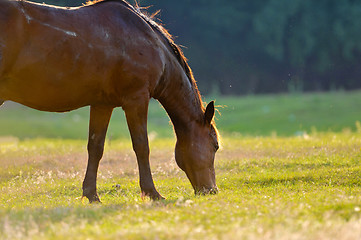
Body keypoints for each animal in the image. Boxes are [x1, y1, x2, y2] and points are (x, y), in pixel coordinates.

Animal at [0, 0, 219, 202]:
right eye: (215, 145)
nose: (212, 190)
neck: (149, 42)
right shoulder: (136, 99)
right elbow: (142, 146)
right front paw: (152, 192)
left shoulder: (102, 104)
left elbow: (95, 147)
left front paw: (91, 195)